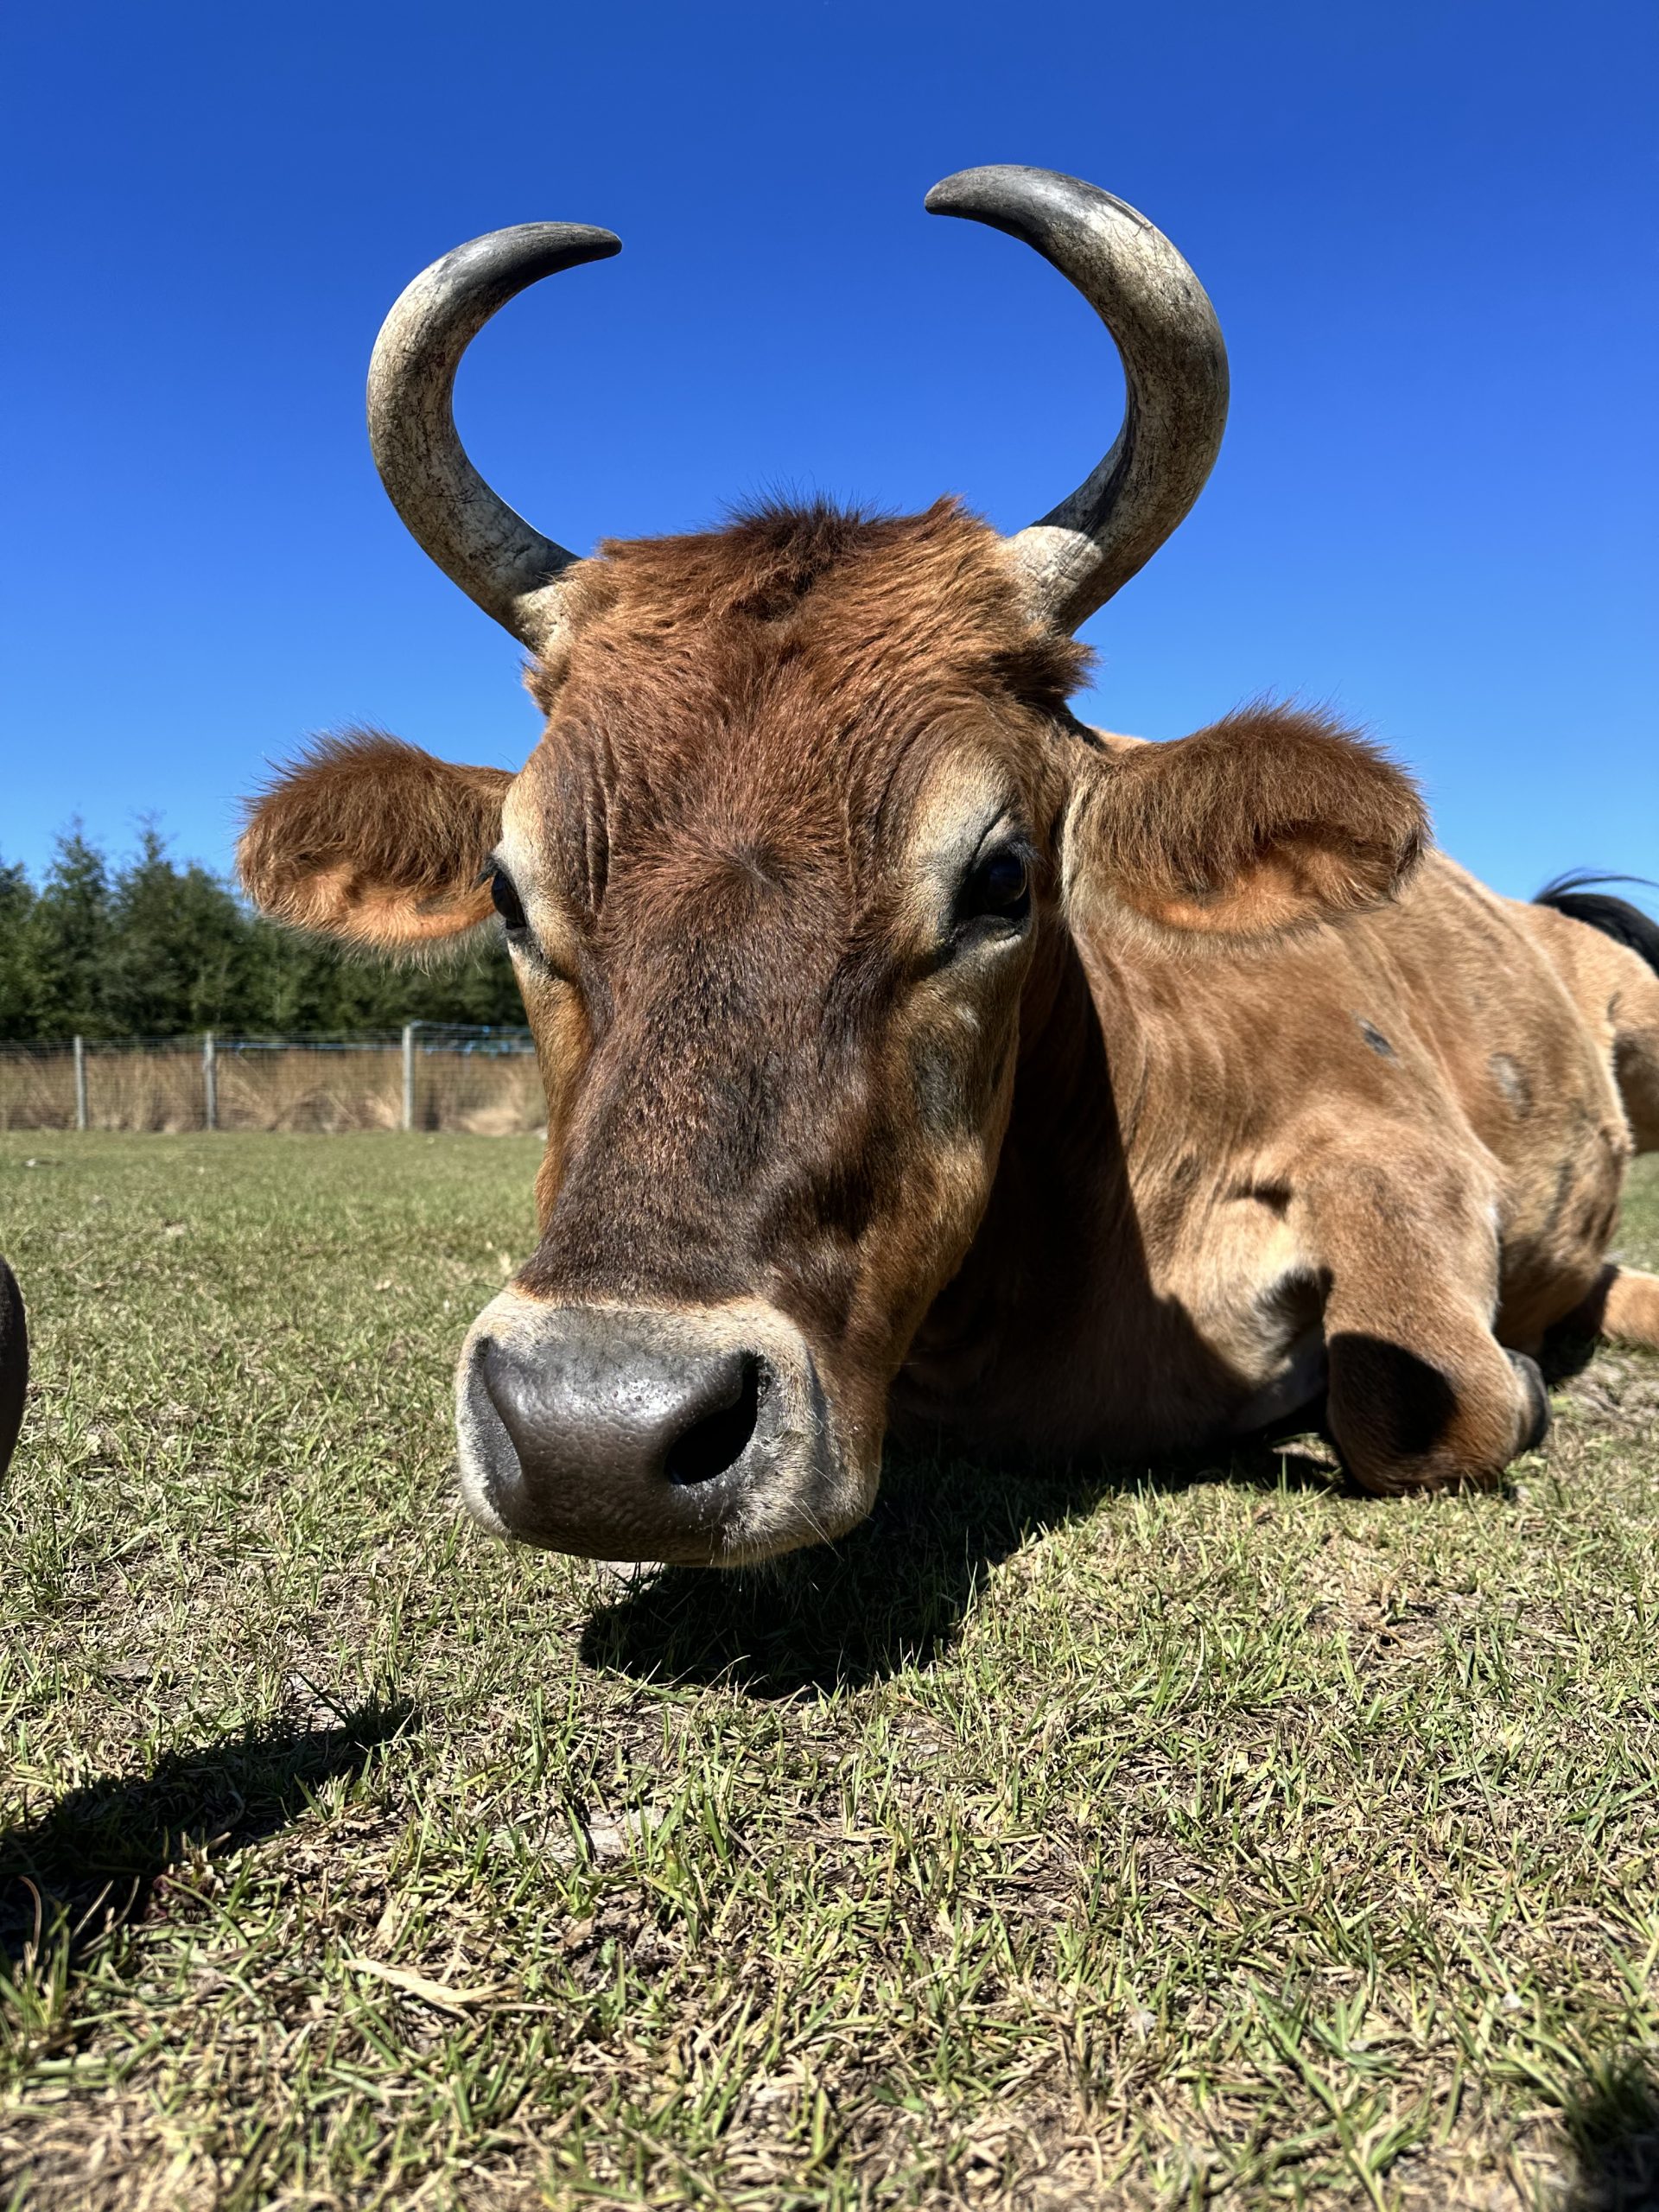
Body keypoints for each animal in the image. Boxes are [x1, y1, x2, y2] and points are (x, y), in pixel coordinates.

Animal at [241, 167, 1659, 1567]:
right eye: (507, 891)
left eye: (1003, 879)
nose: (596, 1432)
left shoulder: (1398, 1143)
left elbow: (1422, 1401)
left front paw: (1515, 1381)